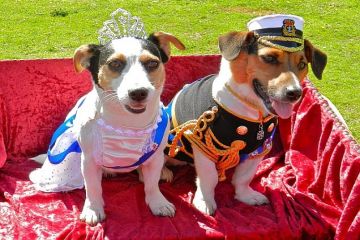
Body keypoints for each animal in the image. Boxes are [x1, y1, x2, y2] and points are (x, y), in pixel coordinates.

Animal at [29, 7, 184, 225]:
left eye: (153, 63)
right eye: (115, 64)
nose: (138, 92)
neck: (127, 123)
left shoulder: (154, 158)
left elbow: (152, 185)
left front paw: (157, 202)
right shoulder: (88, 161)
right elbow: (93, 188)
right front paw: (93, 209)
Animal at [166, 14, 326, 215]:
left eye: (302, 64)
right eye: (269, 58)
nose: (295, 93)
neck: (252, 112)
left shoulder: (257, 149)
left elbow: (244, 177)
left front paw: (245, 196)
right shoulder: (203, 146)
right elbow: (209, 179)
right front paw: (205, 201)